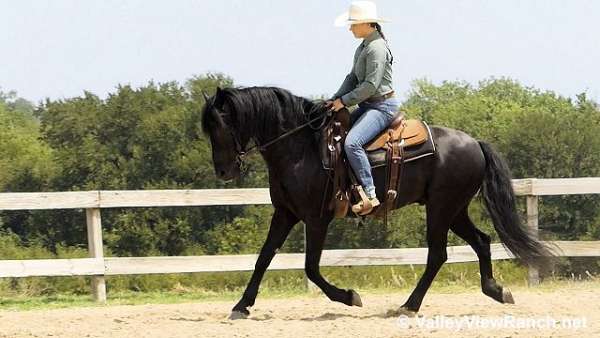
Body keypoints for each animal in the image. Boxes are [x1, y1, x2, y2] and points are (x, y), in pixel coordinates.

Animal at [199, 86, 552, 318]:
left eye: (221, 125)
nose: (223, 171)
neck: (302, 149)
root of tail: (474, 143)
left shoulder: (316, 218)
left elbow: (311, 267)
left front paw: (349, 296)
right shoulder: (285, 214)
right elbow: (263, 258)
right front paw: (241, 306)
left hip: (441, 209)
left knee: (438, 254)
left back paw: (409, 305)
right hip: (454, 210)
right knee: (481, 241)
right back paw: (495, 290)